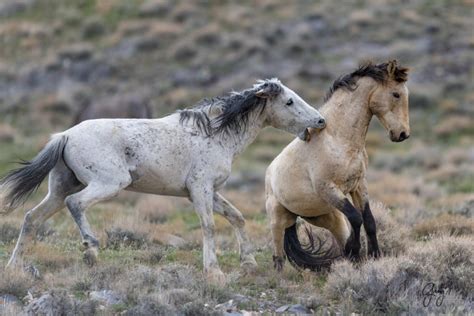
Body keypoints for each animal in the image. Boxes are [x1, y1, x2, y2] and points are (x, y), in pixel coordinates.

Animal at [0, 79, 326, 284]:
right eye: (289, 101)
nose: (320, 121)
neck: (215, 133)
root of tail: (64, 135)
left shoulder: (206, 192)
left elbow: (237, 217)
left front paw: (248, 263)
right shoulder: (200, 189)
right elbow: (209, 226)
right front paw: (214, 272)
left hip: (60, 188)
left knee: (31, 218)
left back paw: (14, 267)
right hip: (107, 184)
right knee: (75, 204)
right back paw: (90, 249)